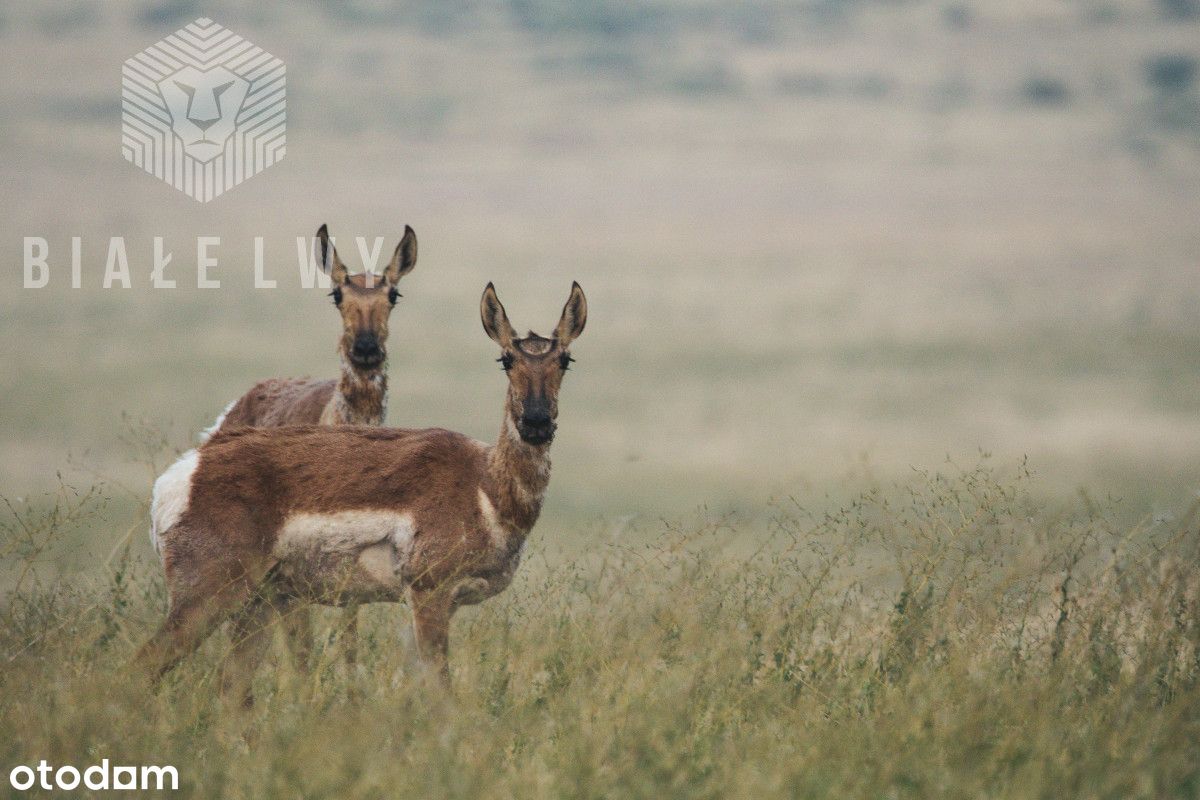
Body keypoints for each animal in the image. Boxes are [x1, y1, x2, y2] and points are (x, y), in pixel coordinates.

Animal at [138, 281, 588, 700]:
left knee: (230, 689)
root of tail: (186, 471)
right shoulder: (429, 594)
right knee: (142, 669)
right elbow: (441, 693)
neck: (484, 483)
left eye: (564, 359)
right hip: (210, 596)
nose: (536, 423)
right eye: (506, 359)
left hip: (259, 604)